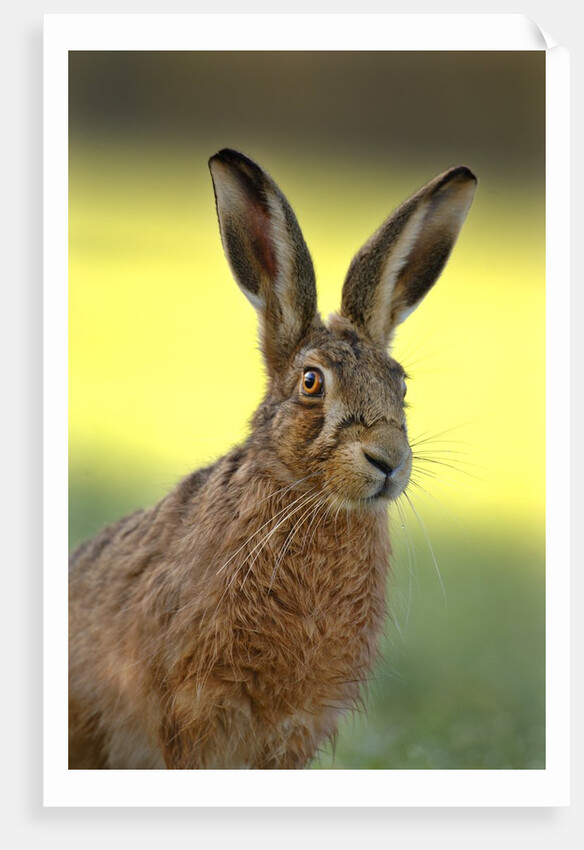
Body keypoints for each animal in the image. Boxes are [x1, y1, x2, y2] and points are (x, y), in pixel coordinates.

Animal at [68, 148, 476, 769]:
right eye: (311, 383)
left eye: (400, 385)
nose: (388, 461)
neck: (306, 499)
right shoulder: (194, 708)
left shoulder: (295, 726)